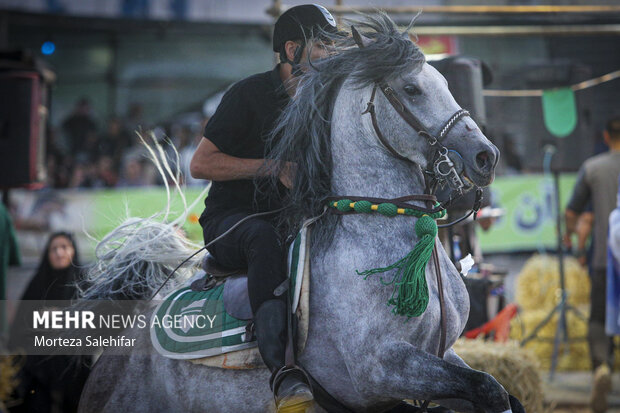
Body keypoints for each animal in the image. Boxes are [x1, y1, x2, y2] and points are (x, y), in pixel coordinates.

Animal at [78, 13, 524, 412]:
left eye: (445, 84)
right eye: (412, 89)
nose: (486, 156)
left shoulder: (442, 355)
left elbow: (495, 391)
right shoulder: (381, 369)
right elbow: (487, 388)